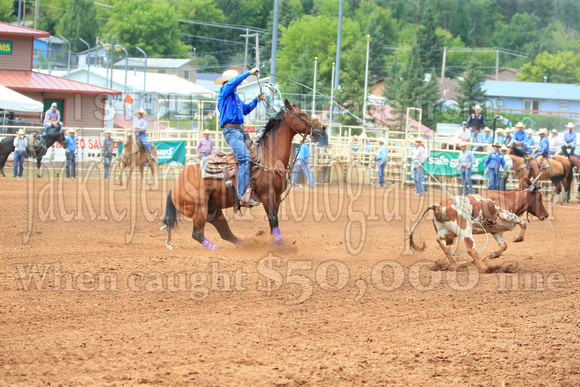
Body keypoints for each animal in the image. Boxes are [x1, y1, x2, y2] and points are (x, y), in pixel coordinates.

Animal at [161, 100, 326, 252]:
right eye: (302, 114)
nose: (323, 127)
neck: (269, 156)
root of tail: (174, 187)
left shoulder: (276, 197)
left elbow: (273, 223)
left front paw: (273, 242)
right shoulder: (267, 195)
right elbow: (273, 219)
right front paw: (281, 245)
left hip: (212, 210)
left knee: (224, 232)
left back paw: (242, 243)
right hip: (199, 209)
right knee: (197, 234)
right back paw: (217, 248)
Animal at [408, 187, 548, 272]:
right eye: (540, 198)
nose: (546, 214)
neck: (508, 199)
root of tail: (437, 206)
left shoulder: (496, 231)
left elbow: (504, 246)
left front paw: (493, 255)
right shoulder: (506, 214)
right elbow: (523, 223)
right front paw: (519, 237)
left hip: (449, 234)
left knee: (440, 241)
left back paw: (455, 264)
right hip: (465, 231)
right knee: (471, 249)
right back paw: (485, 268)